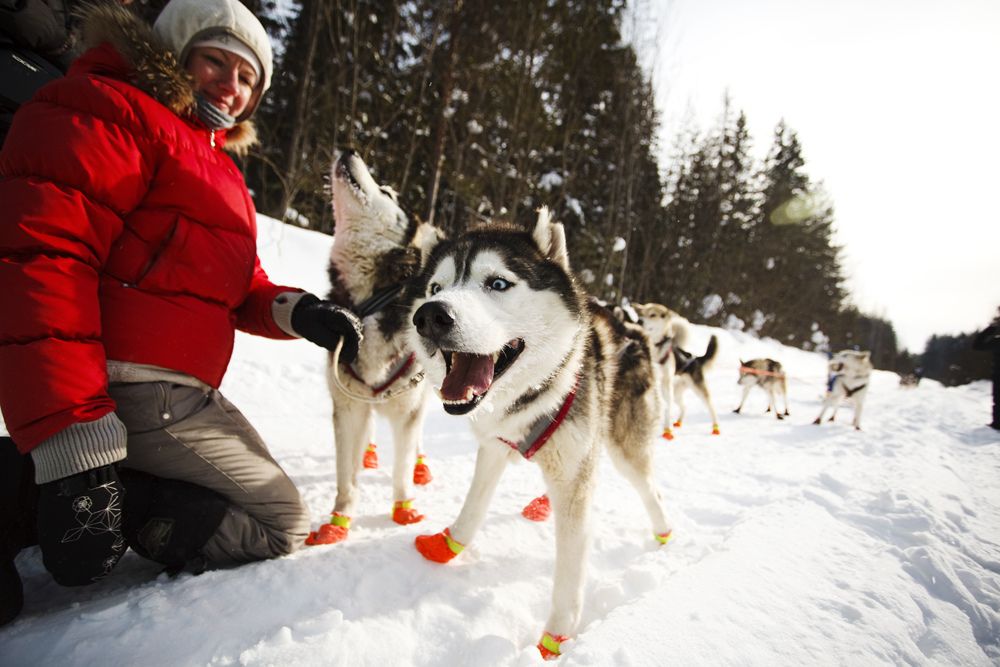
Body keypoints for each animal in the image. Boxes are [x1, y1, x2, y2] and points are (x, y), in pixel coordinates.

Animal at [304, 149, 442, 544]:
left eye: (388, 192)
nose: (349, 150)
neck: (373, 301)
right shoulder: (346, 407)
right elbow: (345, 476)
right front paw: (339, 520)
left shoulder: (408, 408)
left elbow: (401, 467)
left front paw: (403, 507)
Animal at [410, 211, 676, 660]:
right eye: (435, 288)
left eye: (498, 283)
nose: (430, 315)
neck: (534, 394)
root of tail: (633, 329)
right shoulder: (494, 448)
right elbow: (473, 507)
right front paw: (450, 545)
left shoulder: (573, 480)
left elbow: (569, 571)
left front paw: (557, 637)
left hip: (624, 447)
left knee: (650, 488)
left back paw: (664, 536)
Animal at [632, 302, 720, 438]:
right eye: (641, 313)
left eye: (653, 315)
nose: (639, 320)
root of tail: (695, 358)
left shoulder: (665, 385)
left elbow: (667, 409)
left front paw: (667, 430)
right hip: (677, 394)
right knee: (684, 406)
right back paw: (678, 421)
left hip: (697, 390)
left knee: (711, 407)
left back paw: (715, 428)